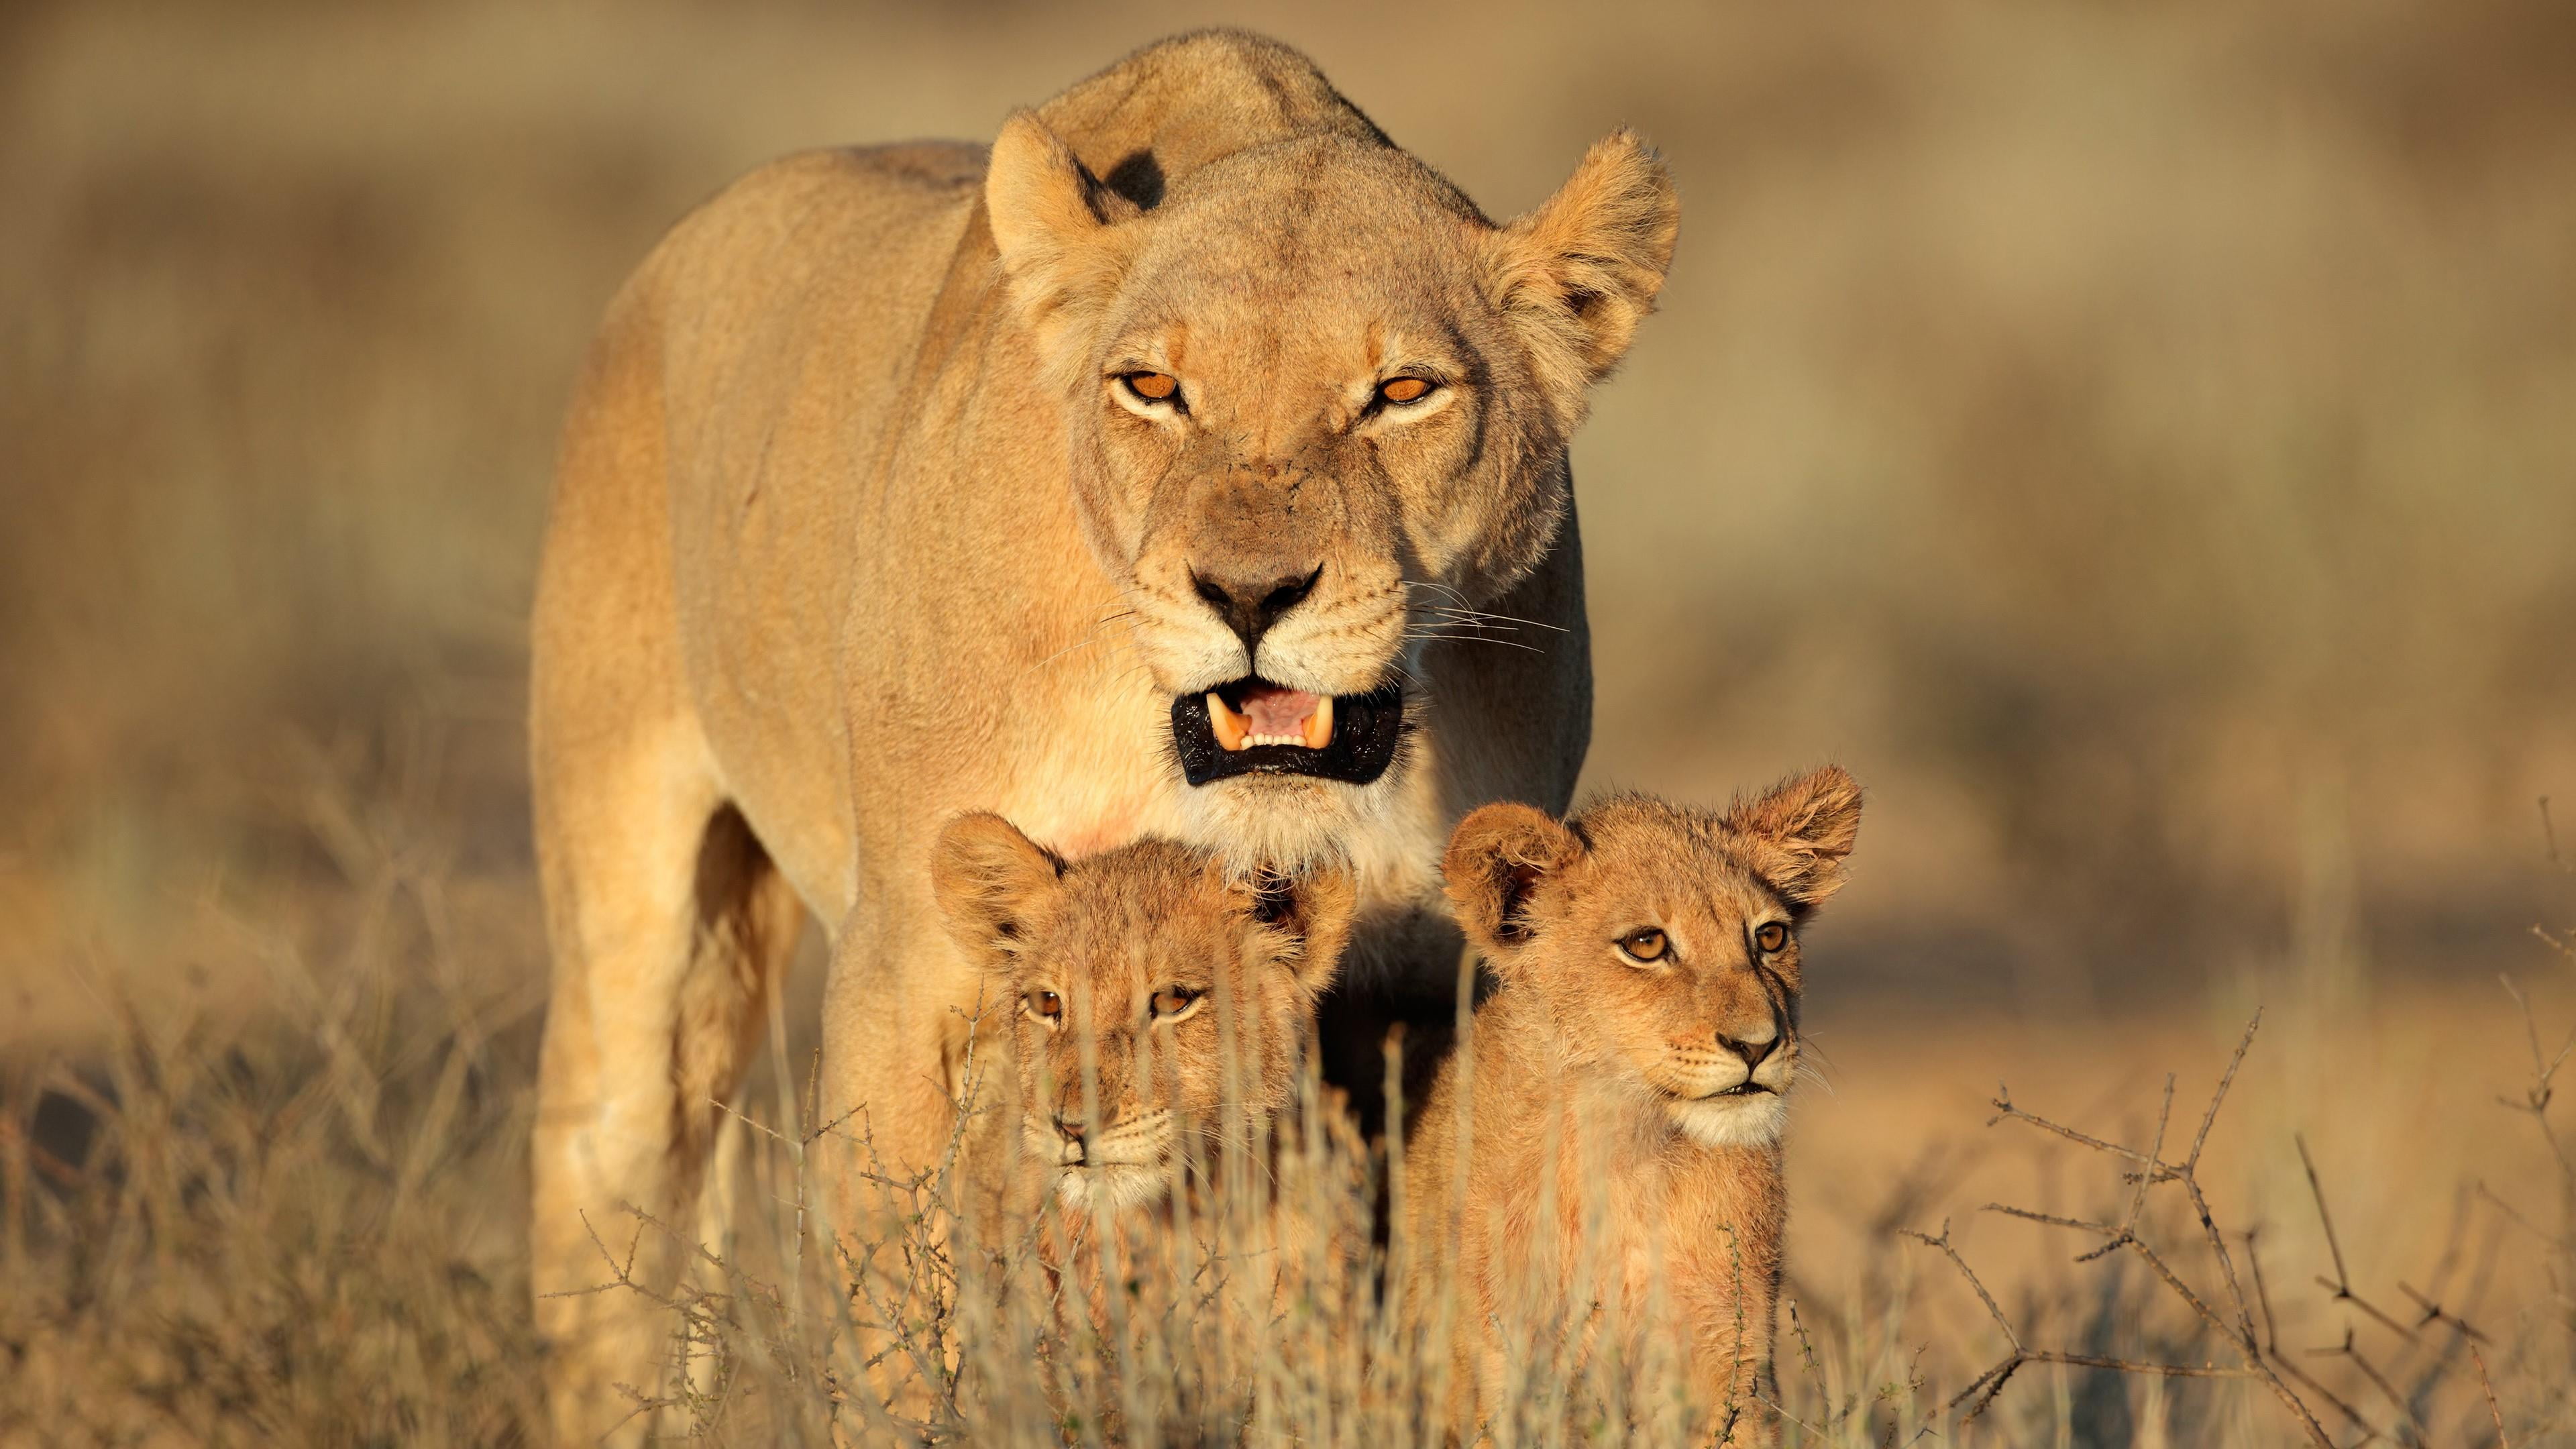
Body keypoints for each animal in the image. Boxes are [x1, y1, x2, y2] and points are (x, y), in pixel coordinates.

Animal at [526, 29, 1677, 1439]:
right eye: (1154, 388)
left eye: (1403, 392)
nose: (1249, 595)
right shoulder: (909, 966)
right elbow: (900, 1313)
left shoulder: (1422, 992)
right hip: (637, 934)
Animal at [1399, 768, 1863, 1446]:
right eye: (1647, 944)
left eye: (1771, 937)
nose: (1759, 1044)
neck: (1629, 1151)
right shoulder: (1507, 1362)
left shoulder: (1730, 1360)